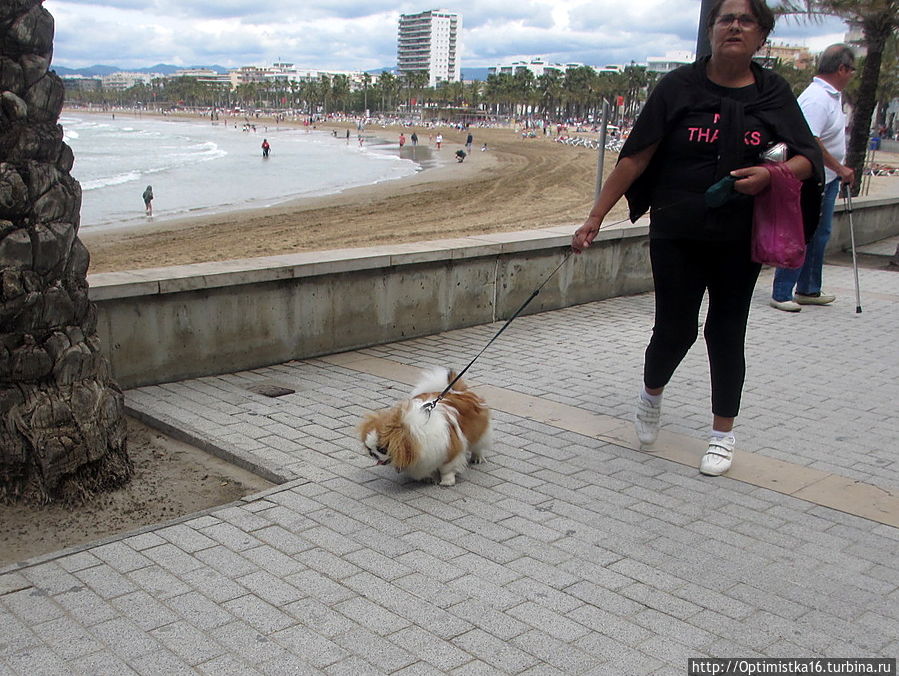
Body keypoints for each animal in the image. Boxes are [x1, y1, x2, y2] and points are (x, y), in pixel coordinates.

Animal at [359, 368, 490, 486]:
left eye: (382, 449)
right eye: (368, 447)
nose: (372, 453)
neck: (414, 435)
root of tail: (457, 392)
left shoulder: (450, 453)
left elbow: (447, 470)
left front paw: (446, 482)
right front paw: (429, 478)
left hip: (479, 433)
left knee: (478, 446)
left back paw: (477, 458)